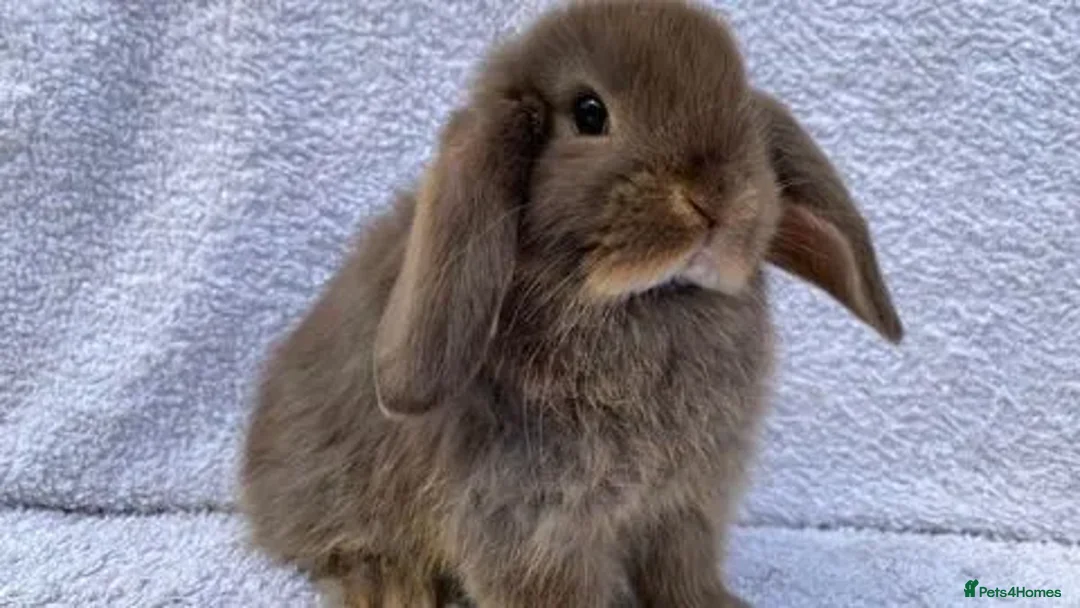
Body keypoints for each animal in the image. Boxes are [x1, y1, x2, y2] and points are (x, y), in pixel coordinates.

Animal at [239, 1, 904, 607]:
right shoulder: (533, 520)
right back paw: (392, 587)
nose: (717, 197)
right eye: (589, 113)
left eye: (739, 105)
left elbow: (683, 573)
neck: (643, 299)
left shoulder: (685, 505)